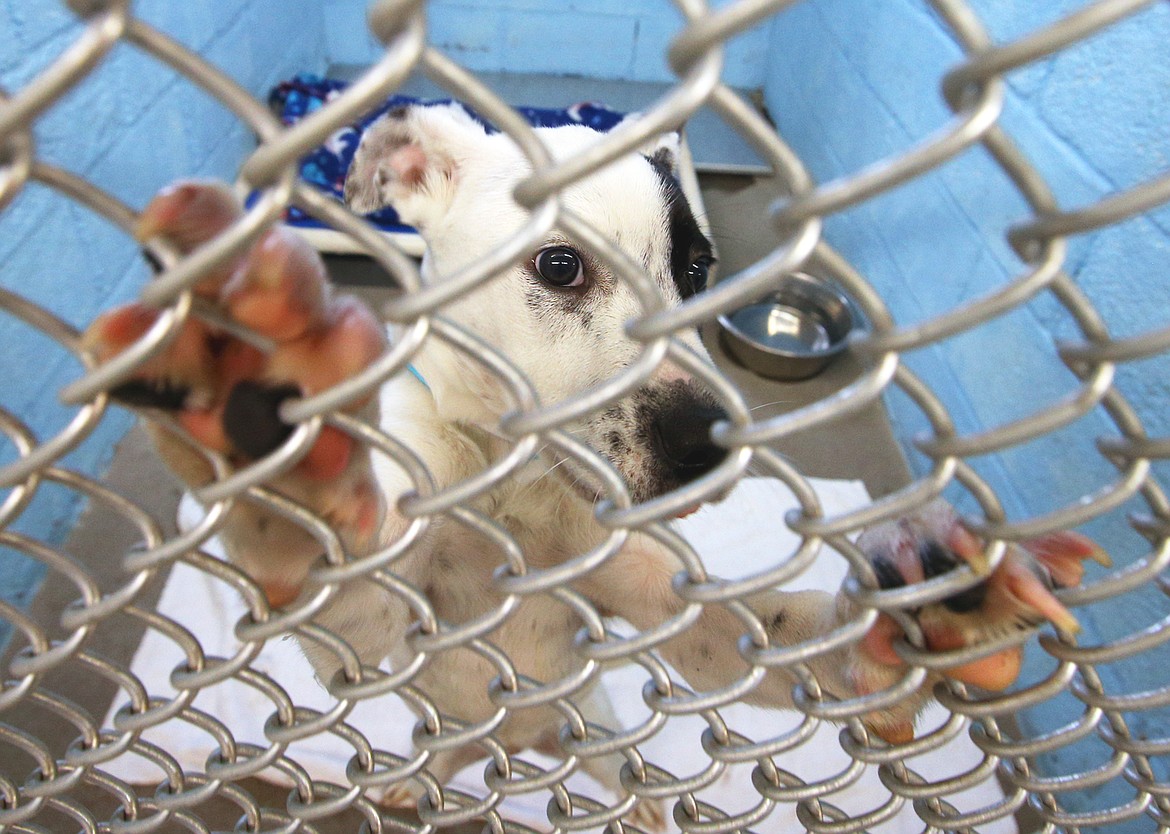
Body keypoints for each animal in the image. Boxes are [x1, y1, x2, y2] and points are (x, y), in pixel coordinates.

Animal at [84, 102, 1104, 828]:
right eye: (561, 266)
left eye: (695, 270)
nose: (711, 445)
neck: (513, 487)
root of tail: (526, 743)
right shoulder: (375, 622)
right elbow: (324, 552)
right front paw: (268, 423)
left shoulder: (667, 606)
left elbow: (772, 633)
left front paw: (934, 605)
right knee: (438, 759)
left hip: (597, 722)